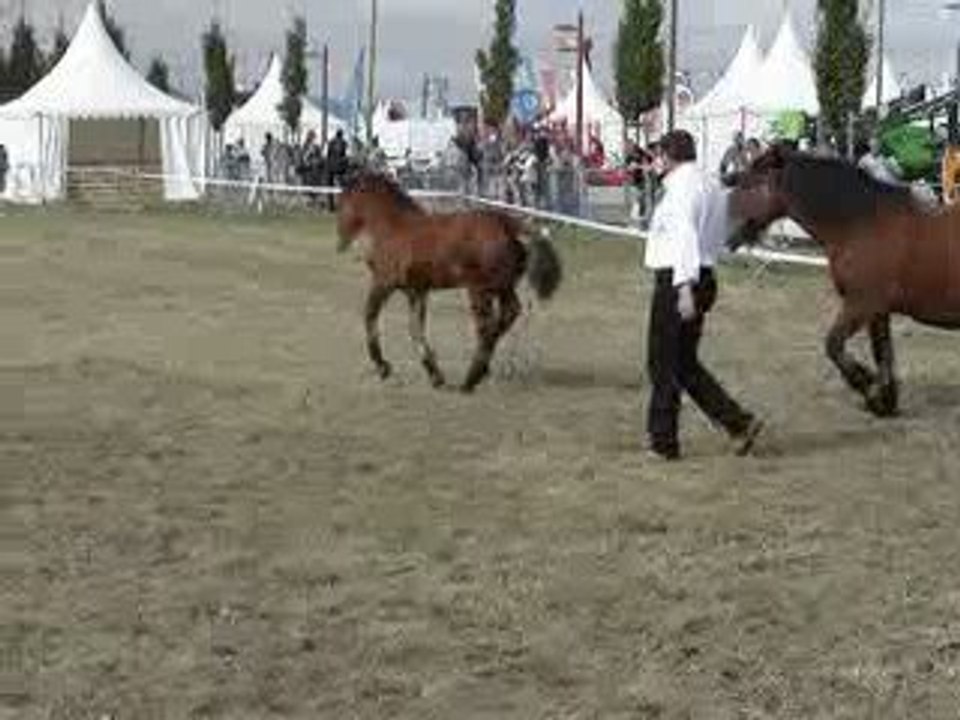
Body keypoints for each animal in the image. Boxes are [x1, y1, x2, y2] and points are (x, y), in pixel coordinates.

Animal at [335, 170, 563, 393]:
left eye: (342, 202)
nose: (340, 240)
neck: (393, 227)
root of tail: (507, 224)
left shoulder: (383, 283)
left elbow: (370, 317)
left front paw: (383, 367)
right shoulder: (416, 291)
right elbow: (415, 329)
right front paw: (435, 376)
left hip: (479, 289)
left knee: (486, 326)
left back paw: (471, 379)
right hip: (503, 286)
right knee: (508, 314)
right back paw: (483, 367)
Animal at [728, 144, 960, 417]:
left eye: (753, 183)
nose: (728, 233)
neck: (860, 224)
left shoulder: (861, 304)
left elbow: (833, 345)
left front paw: (866, 384)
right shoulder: (877, 310)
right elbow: (882, 353)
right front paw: (884, 401)